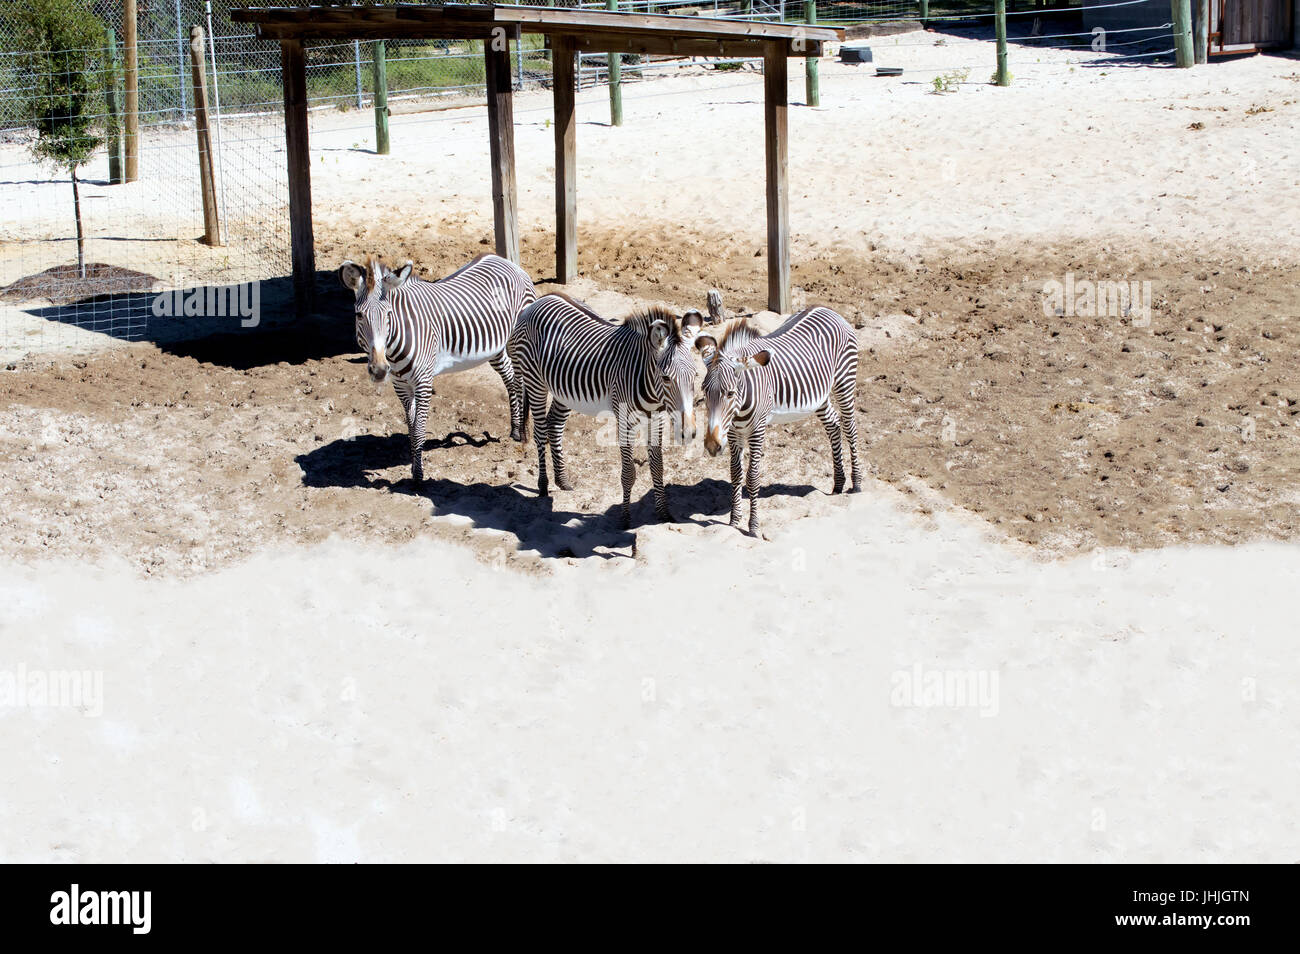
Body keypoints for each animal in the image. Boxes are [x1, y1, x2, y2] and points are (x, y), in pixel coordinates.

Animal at [340, 252, 538, 480]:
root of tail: (503, 260)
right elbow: (411, 428)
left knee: (521, 381)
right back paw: (514, 429)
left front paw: (418, 477)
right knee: (510, 377)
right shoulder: (401, 386)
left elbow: (418, 431)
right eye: (359, 315)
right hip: (495, 347)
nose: (380, 370)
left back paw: (523, 433)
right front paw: (413, 469)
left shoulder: (424, 382)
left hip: (518, 342)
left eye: (389, 314)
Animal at [504, 293, 702, 527]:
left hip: (563, 389)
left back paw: (562, 480)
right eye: (666, 378)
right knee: (540, 431)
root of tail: (539, 300)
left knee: (554, 425)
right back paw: (543, 485)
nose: (688, 432)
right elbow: (629, 473)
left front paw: (663, 514)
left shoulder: (656, 419)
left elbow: (658, 466)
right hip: (535, 381)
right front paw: (625, 519)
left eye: (695, 376)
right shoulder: (624, 420)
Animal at [696, 297, 857, 538]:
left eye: (730, 393)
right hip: (818, 395)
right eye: (704, 392)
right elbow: (735, 474)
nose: (713, 446)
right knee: (833, 426)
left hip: (844, 381)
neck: (739, 409)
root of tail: (827, 309)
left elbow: (752, 477)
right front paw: (734, 521)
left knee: (850, 427)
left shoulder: (757, 429)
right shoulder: (733, 432)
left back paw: (857, 484)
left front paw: (753, 526)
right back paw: (838, 484)